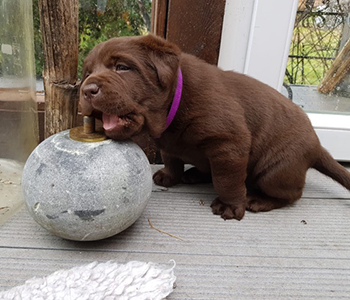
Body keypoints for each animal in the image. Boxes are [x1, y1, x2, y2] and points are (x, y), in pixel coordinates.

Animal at [79, 34, 350, 220]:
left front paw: (230, 206)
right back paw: (195, 174)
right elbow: (172, 158)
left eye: (122, 67)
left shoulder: (229, 143)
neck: (173, 106)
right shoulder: (169, 142)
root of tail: (318, 145)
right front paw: (169, 176)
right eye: (88, 72)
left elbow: (226, 179)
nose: (87, 90)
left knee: (292, 193)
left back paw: (259, 201)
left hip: (275, 170)